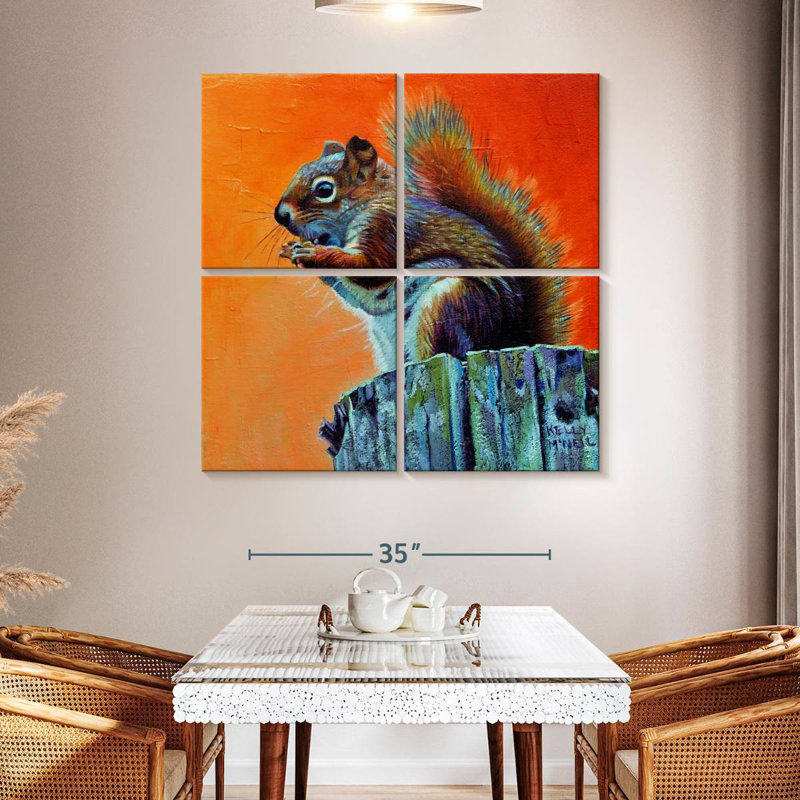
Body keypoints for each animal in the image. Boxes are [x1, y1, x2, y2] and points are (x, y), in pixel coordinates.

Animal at [275, 97, 569, 365]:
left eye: (324, 189)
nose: (281, 215)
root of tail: (508, 340)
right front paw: (294, 250)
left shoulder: (386, 226)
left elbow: (369, 267)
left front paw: (314, 253)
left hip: (448, 305)